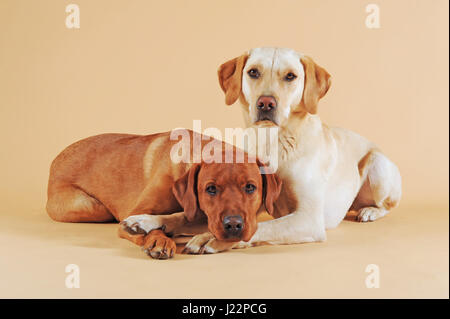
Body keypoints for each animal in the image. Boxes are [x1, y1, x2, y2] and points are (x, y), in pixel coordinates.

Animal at [48, 130, 282, 260]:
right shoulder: (138, 210)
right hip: (94, 208)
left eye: (250, 187)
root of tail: (55, 159)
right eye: (211, 189)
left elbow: (185, 218)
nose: (233, 225)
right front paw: (156, 238)